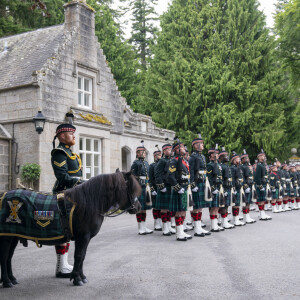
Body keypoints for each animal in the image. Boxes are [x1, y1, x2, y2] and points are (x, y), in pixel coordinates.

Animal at [0, 170, 142, 288]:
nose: (138, 207)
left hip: (13, 236)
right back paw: (7, 282)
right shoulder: (83, 237)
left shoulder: (85, 238)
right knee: (4, 256)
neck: (89, 202)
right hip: (6, 237)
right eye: (131, 189)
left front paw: (82, 277)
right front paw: (77, 279)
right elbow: (79, 256)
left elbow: (83, 256)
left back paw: (12, 279)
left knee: (8, 257)